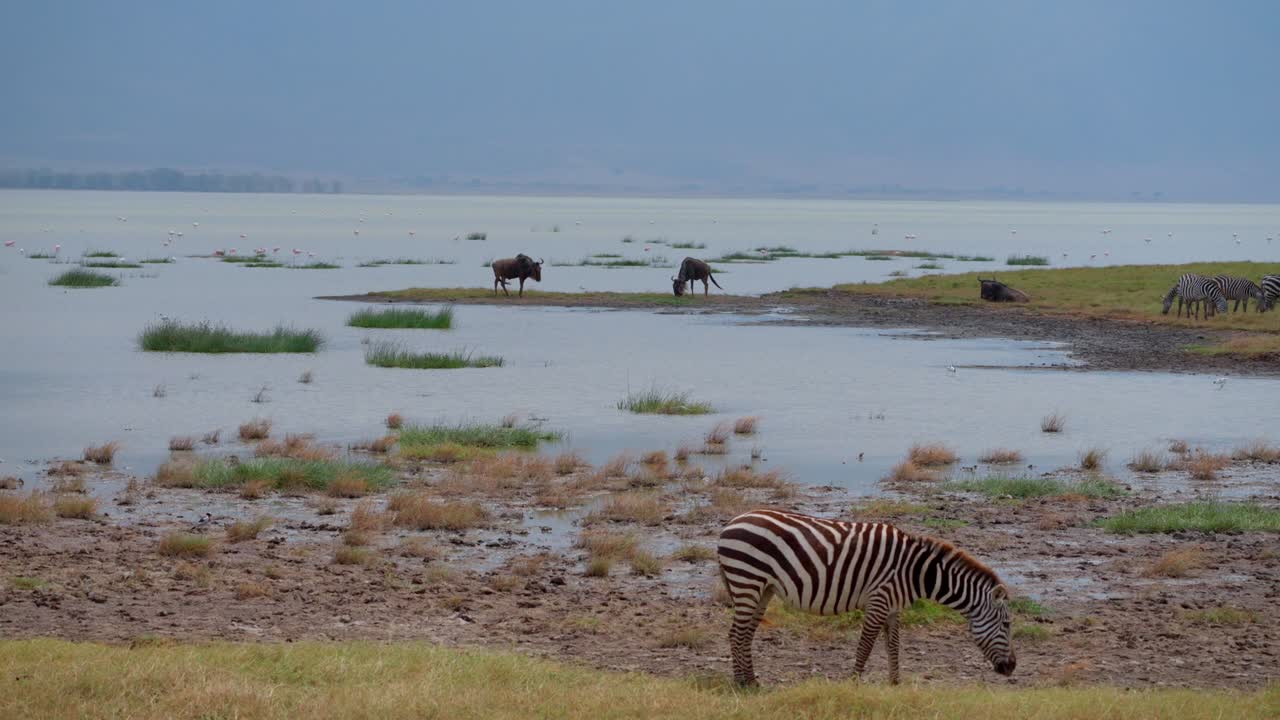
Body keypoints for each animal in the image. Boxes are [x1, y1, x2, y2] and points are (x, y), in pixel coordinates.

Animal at [717, 510, 1016, 686]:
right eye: (1007, 625)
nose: (1011, 667)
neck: (915, 572)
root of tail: (731, 522)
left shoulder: (893, 607)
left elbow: (893, 645)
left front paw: (895, 684)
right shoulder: (879, 600)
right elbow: (866, 646)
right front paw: (853, 683)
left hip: (762, 588)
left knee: (745, 633)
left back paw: (750, 681)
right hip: (747, 580)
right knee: (736, 633)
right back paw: (741, 684)